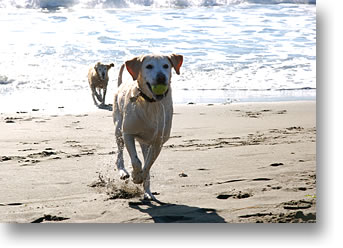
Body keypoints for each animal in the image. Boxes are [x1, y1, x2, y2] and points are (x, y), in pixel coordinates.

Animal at [113, 53, 184, 200]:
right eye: (149, 66)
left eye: (166, 66)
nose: (161, 77)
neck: (151, 103)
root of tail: (121, 84)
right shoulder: (128, 133)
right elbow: (136, 161)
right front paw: (135, 175)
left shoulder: (158, 142)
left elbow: (148, 165)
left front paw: (140, 177)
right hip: (118, 129)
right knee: (120, 153)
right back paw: (123, 171)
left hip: (146, 142)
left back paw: (148, 193)